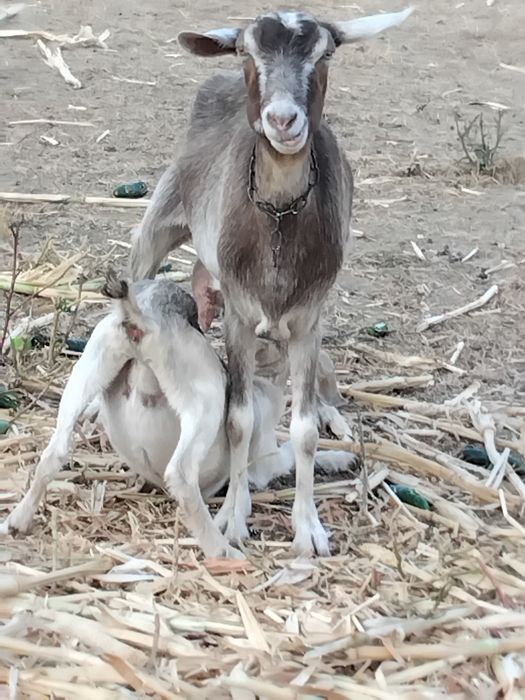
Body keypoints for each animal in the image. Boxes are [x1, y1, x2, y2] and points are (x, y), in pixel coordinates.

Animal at [0, 276, 358, 557]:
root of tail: (142, 317)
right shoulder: (266, 463)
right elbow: (297, 453)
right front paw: (341, 457)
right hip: (203, 403)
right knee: (181, 475)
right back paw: (222, 551)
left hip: (83, 378)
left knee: (52, 455)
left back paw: (17, 521)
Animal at [129, 8, 413, 555]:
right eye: (246, 52)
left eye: (325, 53)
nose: (283, 120)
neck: (278, 219)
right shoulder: (239, 317)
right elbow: (237, 420)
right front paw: (233, 518)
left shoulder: (308, 320)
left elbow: (302, 431)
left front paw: (308, 529)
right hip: (160, 221)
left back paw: (332, 415)